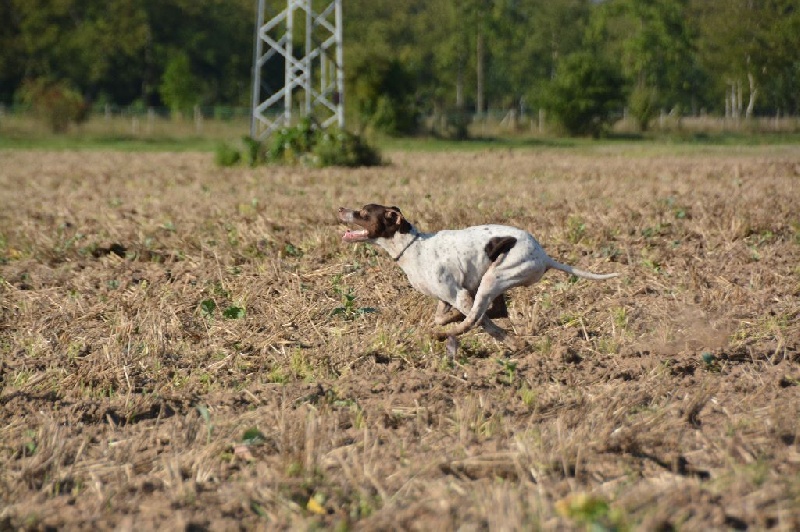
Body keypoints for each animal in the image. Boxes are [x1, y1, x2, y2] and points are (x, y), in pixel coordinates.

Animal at [338, 204, 620, 354]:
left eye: (363, 212)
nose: (341, 209)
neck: (412, 246)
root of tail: (544, 256)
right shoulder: (446, 297)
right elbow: (443, 316)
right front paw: (448, 319)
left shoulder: (458, 294)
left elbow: (481, 322)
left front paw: (511, 341)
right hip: (493, 279)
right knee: (494, 310)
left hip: (495, 277)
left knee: (478, 317)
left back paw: (446, 334)